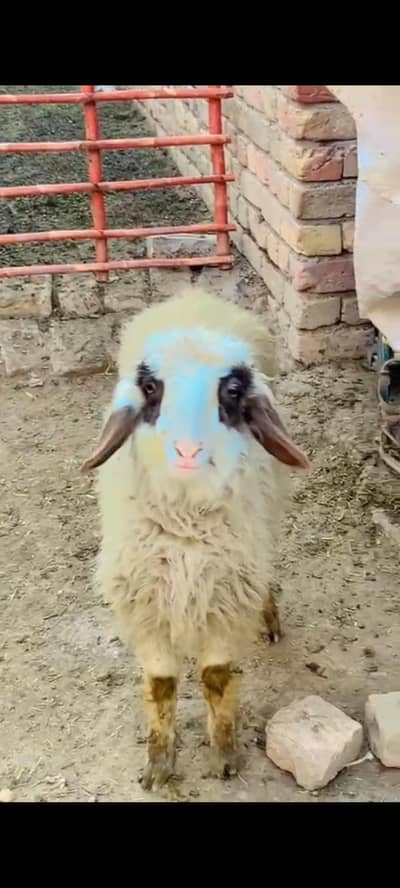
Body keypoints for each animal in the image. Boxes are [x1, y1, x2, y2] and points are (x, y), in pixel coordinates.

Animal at [83, 287, 309, 789]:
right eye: (152, 388)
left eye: (231, 391)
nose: (187, 451)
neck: (185, 524)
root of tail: (194, 296)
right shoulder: (146, 609)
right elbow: (162, 685)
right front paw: (158, 764)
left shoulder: (225, 598)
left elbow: (217, 678)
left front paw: (225, 755)